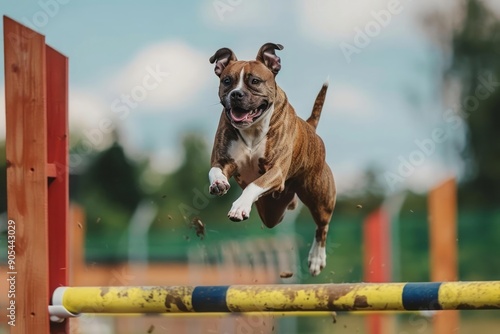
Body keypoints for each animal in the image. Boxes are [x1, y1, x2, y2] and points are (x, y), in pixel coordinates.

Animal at [207, 43, 336, 276]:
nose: (236, 94)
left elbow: (254, 185)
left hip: (320, 199)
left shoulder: (275, 170)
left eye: (255, 81)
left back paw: (316, 259)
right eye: (227, 81)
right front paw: (219, 183)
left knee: (322, 227)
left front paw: (239, 207)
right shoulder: (223, 161)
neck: (252, 128)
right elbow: (214, 170)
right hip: (271, 211)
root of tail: (310, 126)